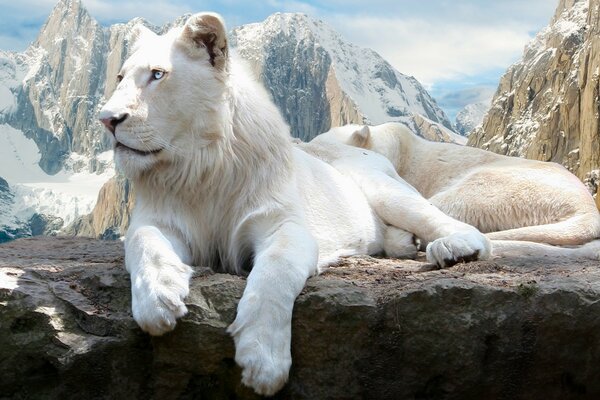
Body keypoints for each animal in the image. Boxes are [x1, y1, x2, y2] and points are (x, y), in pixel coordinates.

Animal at [95, 11, 596, 394]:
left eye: (157, 75)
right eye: (119, 77)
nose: (106, 119)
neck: (199, 166)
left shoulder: (284, 226)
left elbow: (272, 277)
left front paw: (263, 360)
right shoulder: (160, 221)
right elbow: (144, 245)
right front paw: (159, 299)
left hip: (395, 190)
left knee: (459, 227)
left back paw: (448, 248)